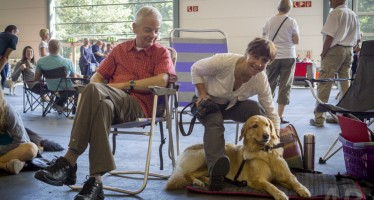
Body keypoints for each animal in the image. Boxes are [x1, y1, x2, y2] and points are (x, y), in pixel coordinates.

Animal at [165, 115, 312, 200]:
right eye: (254, 126)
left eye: (267, 125)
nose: (266, 135)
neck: (265, 152)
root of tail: (186, 149)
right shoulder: (257, 179)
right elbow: (270, 185)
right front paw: (280, 194)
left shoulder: (286, 176)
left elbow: (295, 181)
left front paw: (303, 189)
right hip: (206, 159)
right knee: (188, 174)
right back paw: (198, 182)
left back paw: (207, 180)